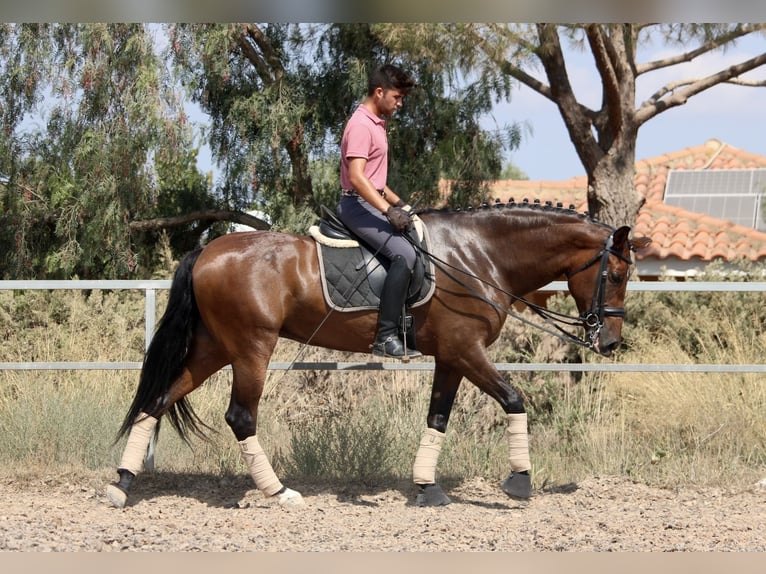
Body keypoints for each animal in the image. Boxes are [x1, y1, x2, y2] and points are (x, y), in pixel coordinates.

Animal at [105, 200, 652, 510]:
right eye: (617, 274)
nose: (609, 342)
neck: (478, 255)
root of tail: (209, 251)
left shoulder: (451, 357)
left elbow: (437, 419)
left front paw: (427, 489)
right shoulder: (467, 349)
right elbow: (514, 399)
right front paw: (519, 481)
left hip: (214, 348)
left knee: (156, 401)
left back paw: (122, 485)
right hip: (251, 348)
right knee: (241, 416)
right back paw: (279, 493)